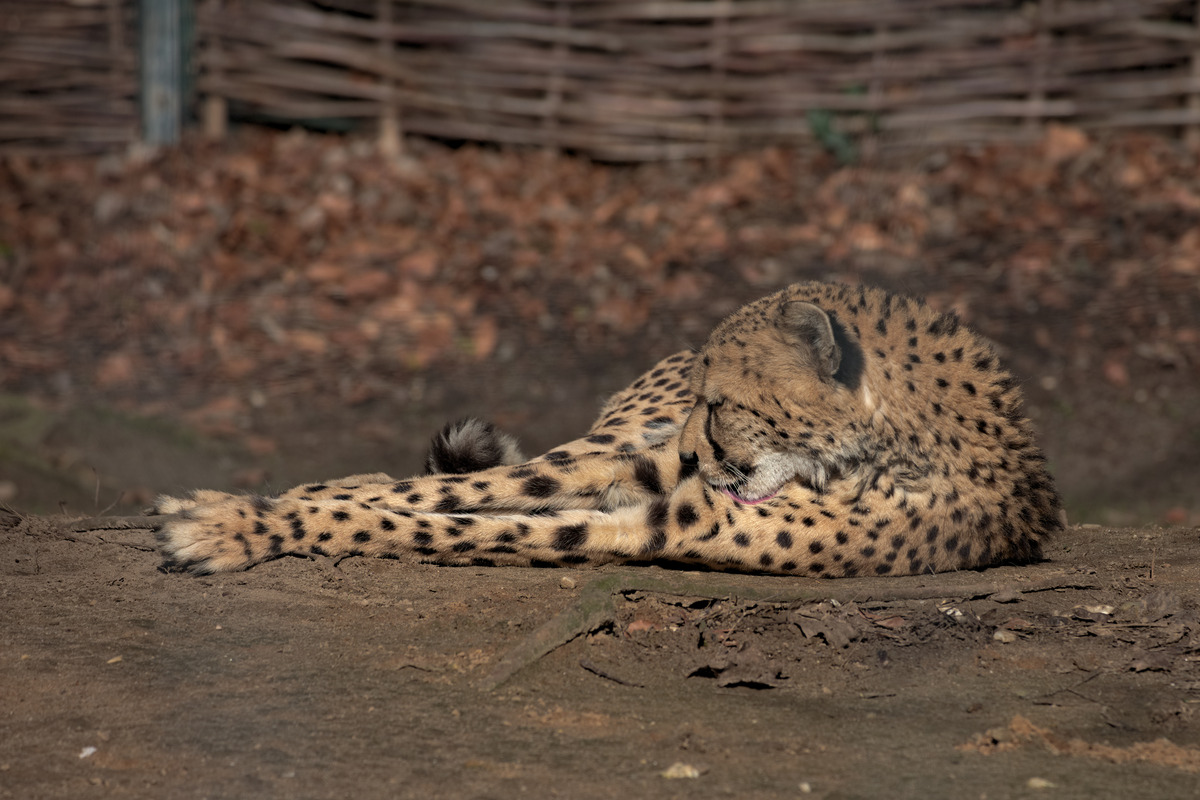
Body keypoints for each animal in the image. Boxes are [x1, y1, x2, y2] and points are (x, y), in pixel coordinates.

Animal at [150, 281, 1062, 578]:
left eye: (722, 402)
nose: (693, 447)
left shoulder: (671, 520)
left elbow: (451, 527)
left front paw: (235, 527)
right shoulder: (660, 480)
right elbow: (433, 502)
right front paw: (253, 512)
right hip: (618, 444)